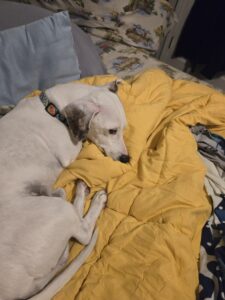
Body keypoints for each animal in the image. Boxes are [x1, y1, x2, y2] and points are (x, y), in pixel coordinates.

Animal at [0, 80, 129, 300]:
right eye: (112, 130)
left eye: (123, 129)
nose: (126, 159)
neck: (54, 108)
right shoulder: (71, 153)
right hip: (58, 211)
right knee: (83, 234)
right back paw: (93, 198)